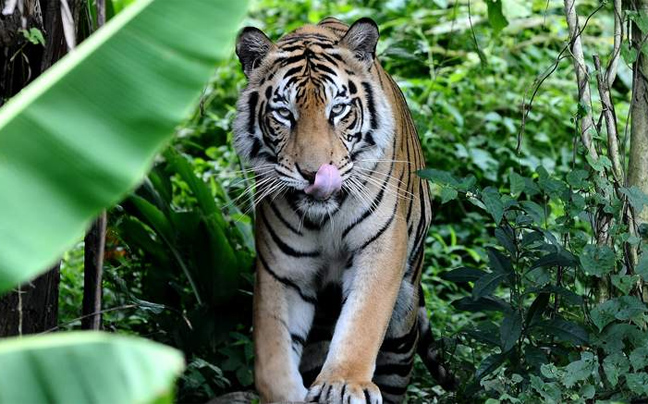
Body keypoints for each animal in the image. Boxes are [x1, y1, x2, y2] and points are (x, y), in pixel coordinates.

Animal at [233, 17, 454, 404]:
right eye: (283, 113)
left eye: (337, 109)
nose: (314, 173)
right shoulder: (283, 270)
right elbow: (273, 352)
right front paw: (289, 394)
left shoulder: (380, 247)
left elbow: (362, 321)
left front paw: (344, 383)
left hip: (402, 324)